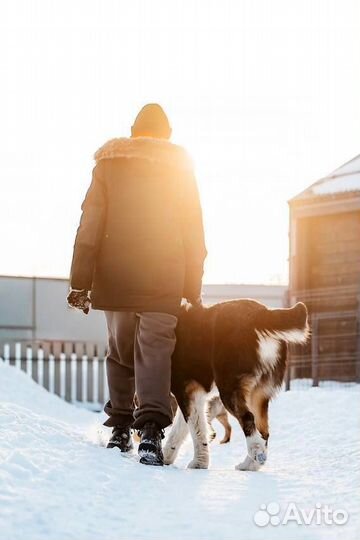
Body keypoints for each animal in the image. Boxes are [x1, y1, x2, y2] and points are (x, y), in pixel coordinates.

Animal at [166, 298, 310, 470]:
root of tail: (261, 313)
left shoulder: (184, 390)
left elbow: (197, 429)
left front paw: (199, 463)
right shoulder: (194, 395)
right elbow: (180, 429)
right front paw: (167, 456)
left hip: (229, 389)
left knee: (248, 419)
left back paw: (255, 455)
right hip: (258, 393)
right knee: (263, 431)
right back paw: (250, 464)